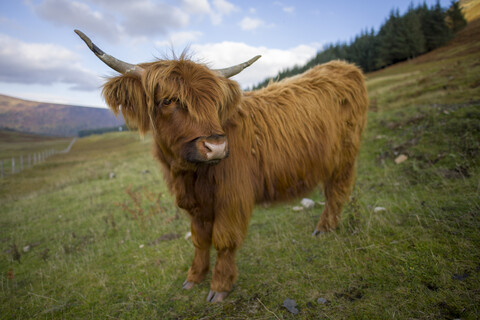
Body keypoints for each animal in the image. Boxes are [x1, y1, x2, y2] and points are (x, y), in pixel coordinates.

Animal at [74, 30, 368, 302]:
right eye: (168, 100)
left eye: (215, 103)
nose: (216, 146)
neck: (189, 175)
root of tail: (344, 67)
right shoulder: (196, 204)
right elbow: (200, 239)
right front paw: (194, 277)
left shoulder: (232, 196)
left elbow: (224, 240)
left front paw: (219, 286)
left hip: (344, 157)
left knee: (336, 191)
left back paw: (324, 228)